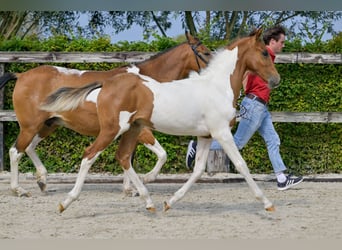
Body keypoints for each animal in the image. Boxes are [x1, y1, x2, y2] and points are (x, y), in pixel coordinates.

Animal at [0, 32, 211, 197]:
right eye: (206, 52)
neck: (145, 85)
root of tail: (21, 76)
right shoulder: (142, 130)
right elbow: (161, 154)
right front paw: (146, 180)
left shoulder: (131, 130)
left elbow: (129, 157)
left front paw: (129, 189)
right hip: (30, 126)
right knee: (15, 152)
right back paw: (19, 189)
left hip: (48, 124)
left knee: (29, 148)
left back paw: (43, 181)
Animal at [41, 29, 280, 213]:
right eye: (263, 53)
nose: (276, 80)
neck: (217, 87)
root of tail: (107, 83)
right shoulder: (221, 132)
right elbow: (241, 165)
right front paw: (267, 203)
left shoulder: (205, 135)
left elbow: (198, 170)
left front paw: (170, 202)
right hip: (112, 129)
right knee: (89, 155)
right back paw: (65, 202)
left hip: (132, 129)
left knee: (124, 157)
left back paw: (148, 200)